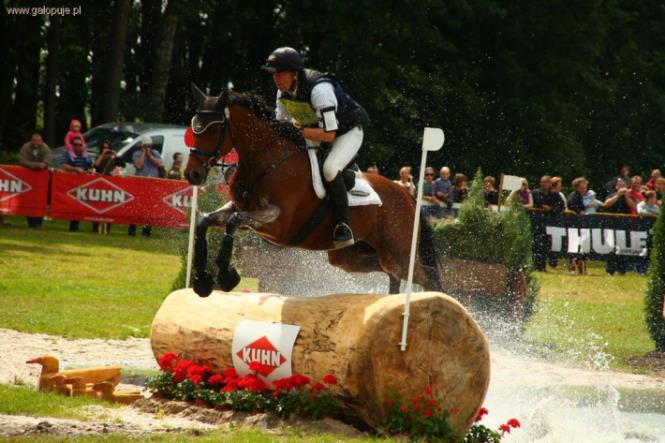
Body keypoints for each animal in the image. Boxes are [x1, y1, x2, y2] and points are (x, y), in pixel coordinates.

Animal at [183, 84, 440, 298]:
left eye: (213, 130)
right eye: (194, 129)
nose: (192, 175)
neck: (267, 159)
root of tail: (407, 195)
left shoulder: (278, 224)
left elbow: (233, 221)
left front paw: (226, 276)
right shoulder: (240, 209)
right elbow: (205, 221)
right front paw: (202, 280)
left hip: (398, 253)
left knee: (426, 279)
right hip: (351, 256)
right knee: (390, 273)